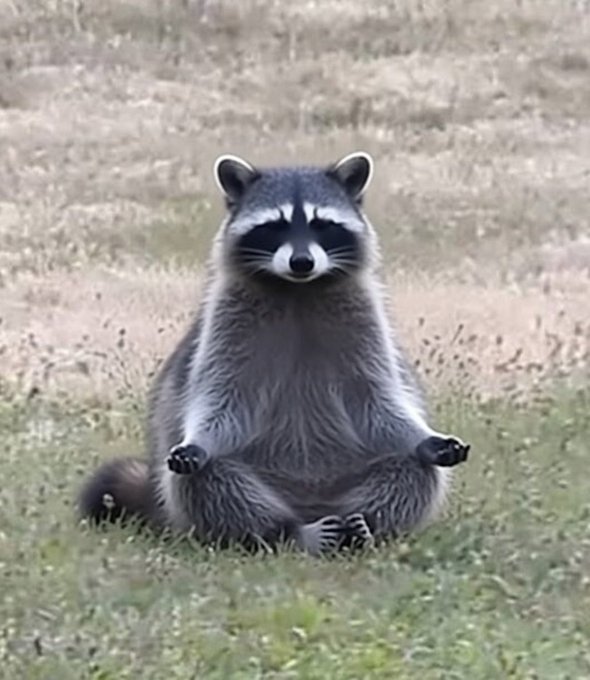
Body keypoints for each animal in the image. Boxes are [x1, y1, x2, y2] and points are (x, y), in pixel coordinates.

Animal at [78, 152, 469, 555]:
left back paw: (369, 524)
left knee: (414, 468)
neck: (298, 289)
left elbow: (378, 400)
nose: (302, 262)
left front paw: (423, 435)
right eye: (275, 226)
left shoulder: (365, 323)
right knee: (208, 480)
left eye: (321, 224)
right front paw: (200, 440)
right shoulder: (225, 326)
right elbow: (220, 398)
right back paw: (285, 532)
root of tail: (313, 507)